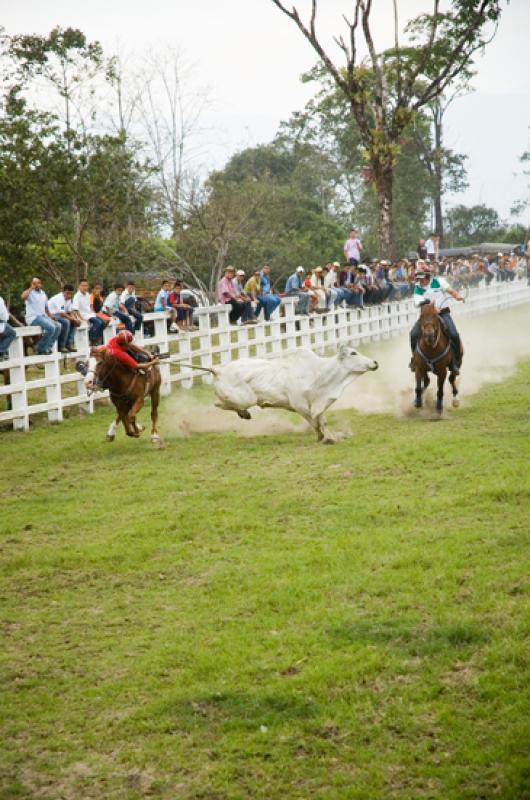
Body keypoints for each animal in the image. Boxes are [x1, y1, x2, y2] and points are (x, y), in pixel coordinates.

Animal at [202, 346, 376, 444]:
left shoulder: (316, 404)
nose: (375, 362)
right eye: (353, 353)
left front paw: (331, 437)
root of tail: (217, 370)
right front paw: (323, 438)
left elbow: (322, 421)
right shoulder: (300, 406)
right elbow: (314, 423)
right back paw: (245, 413)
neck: (317, 373)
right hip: (246, 399)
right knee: (220, 404)